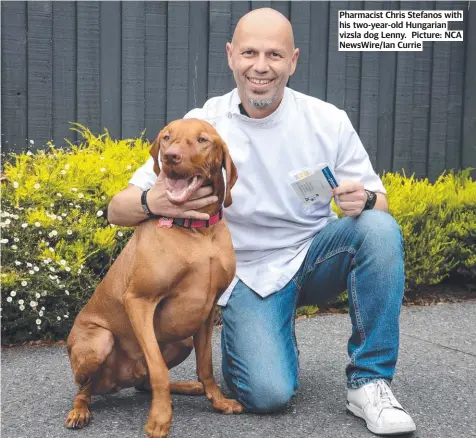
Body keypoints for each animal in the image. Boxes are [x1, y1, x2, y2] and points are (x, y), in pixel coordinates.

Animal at [65, 119, 244, 438]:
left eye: (202, 140)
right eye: (166, 137)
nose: (170, 157)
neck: (196, 230)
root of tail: (117, 381)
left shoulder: (208, 310)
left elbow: (206, 366)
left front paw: (218, 401)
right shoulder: (139, 301)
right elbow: (159, 369)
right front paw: (160, 419)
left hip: (182, 340)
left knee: (144, 383)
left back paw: (187, 387)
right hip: (98, 341)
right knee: (85, 389)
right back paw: (80, 411)